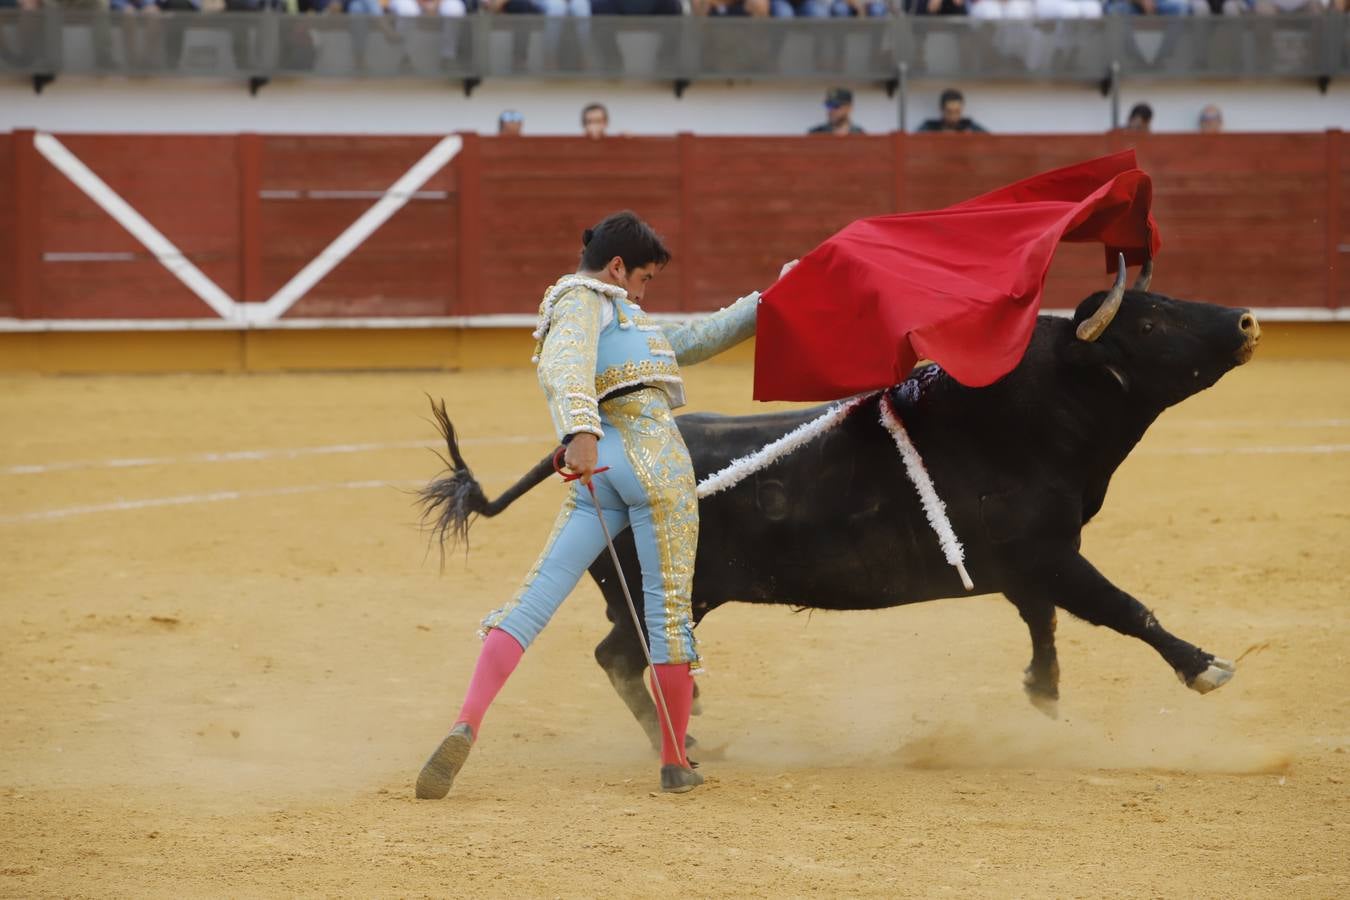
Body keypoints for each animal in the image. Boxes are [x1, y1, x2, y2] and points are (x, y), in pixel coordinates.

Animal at [418, 260, 1252, 755]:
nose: (1244, 320)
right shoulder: (1051, 555)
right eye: (1150, 321)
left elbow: (1043, 621)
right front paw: (1207, 667)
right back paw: (681, 744)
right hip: (661, 588)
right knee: (622, 656)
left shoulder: (1027, 563)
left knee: (630, 656)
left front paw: (1041, 692)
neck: (1028, 414)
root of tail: (589, 453)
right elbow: (1126, 609)